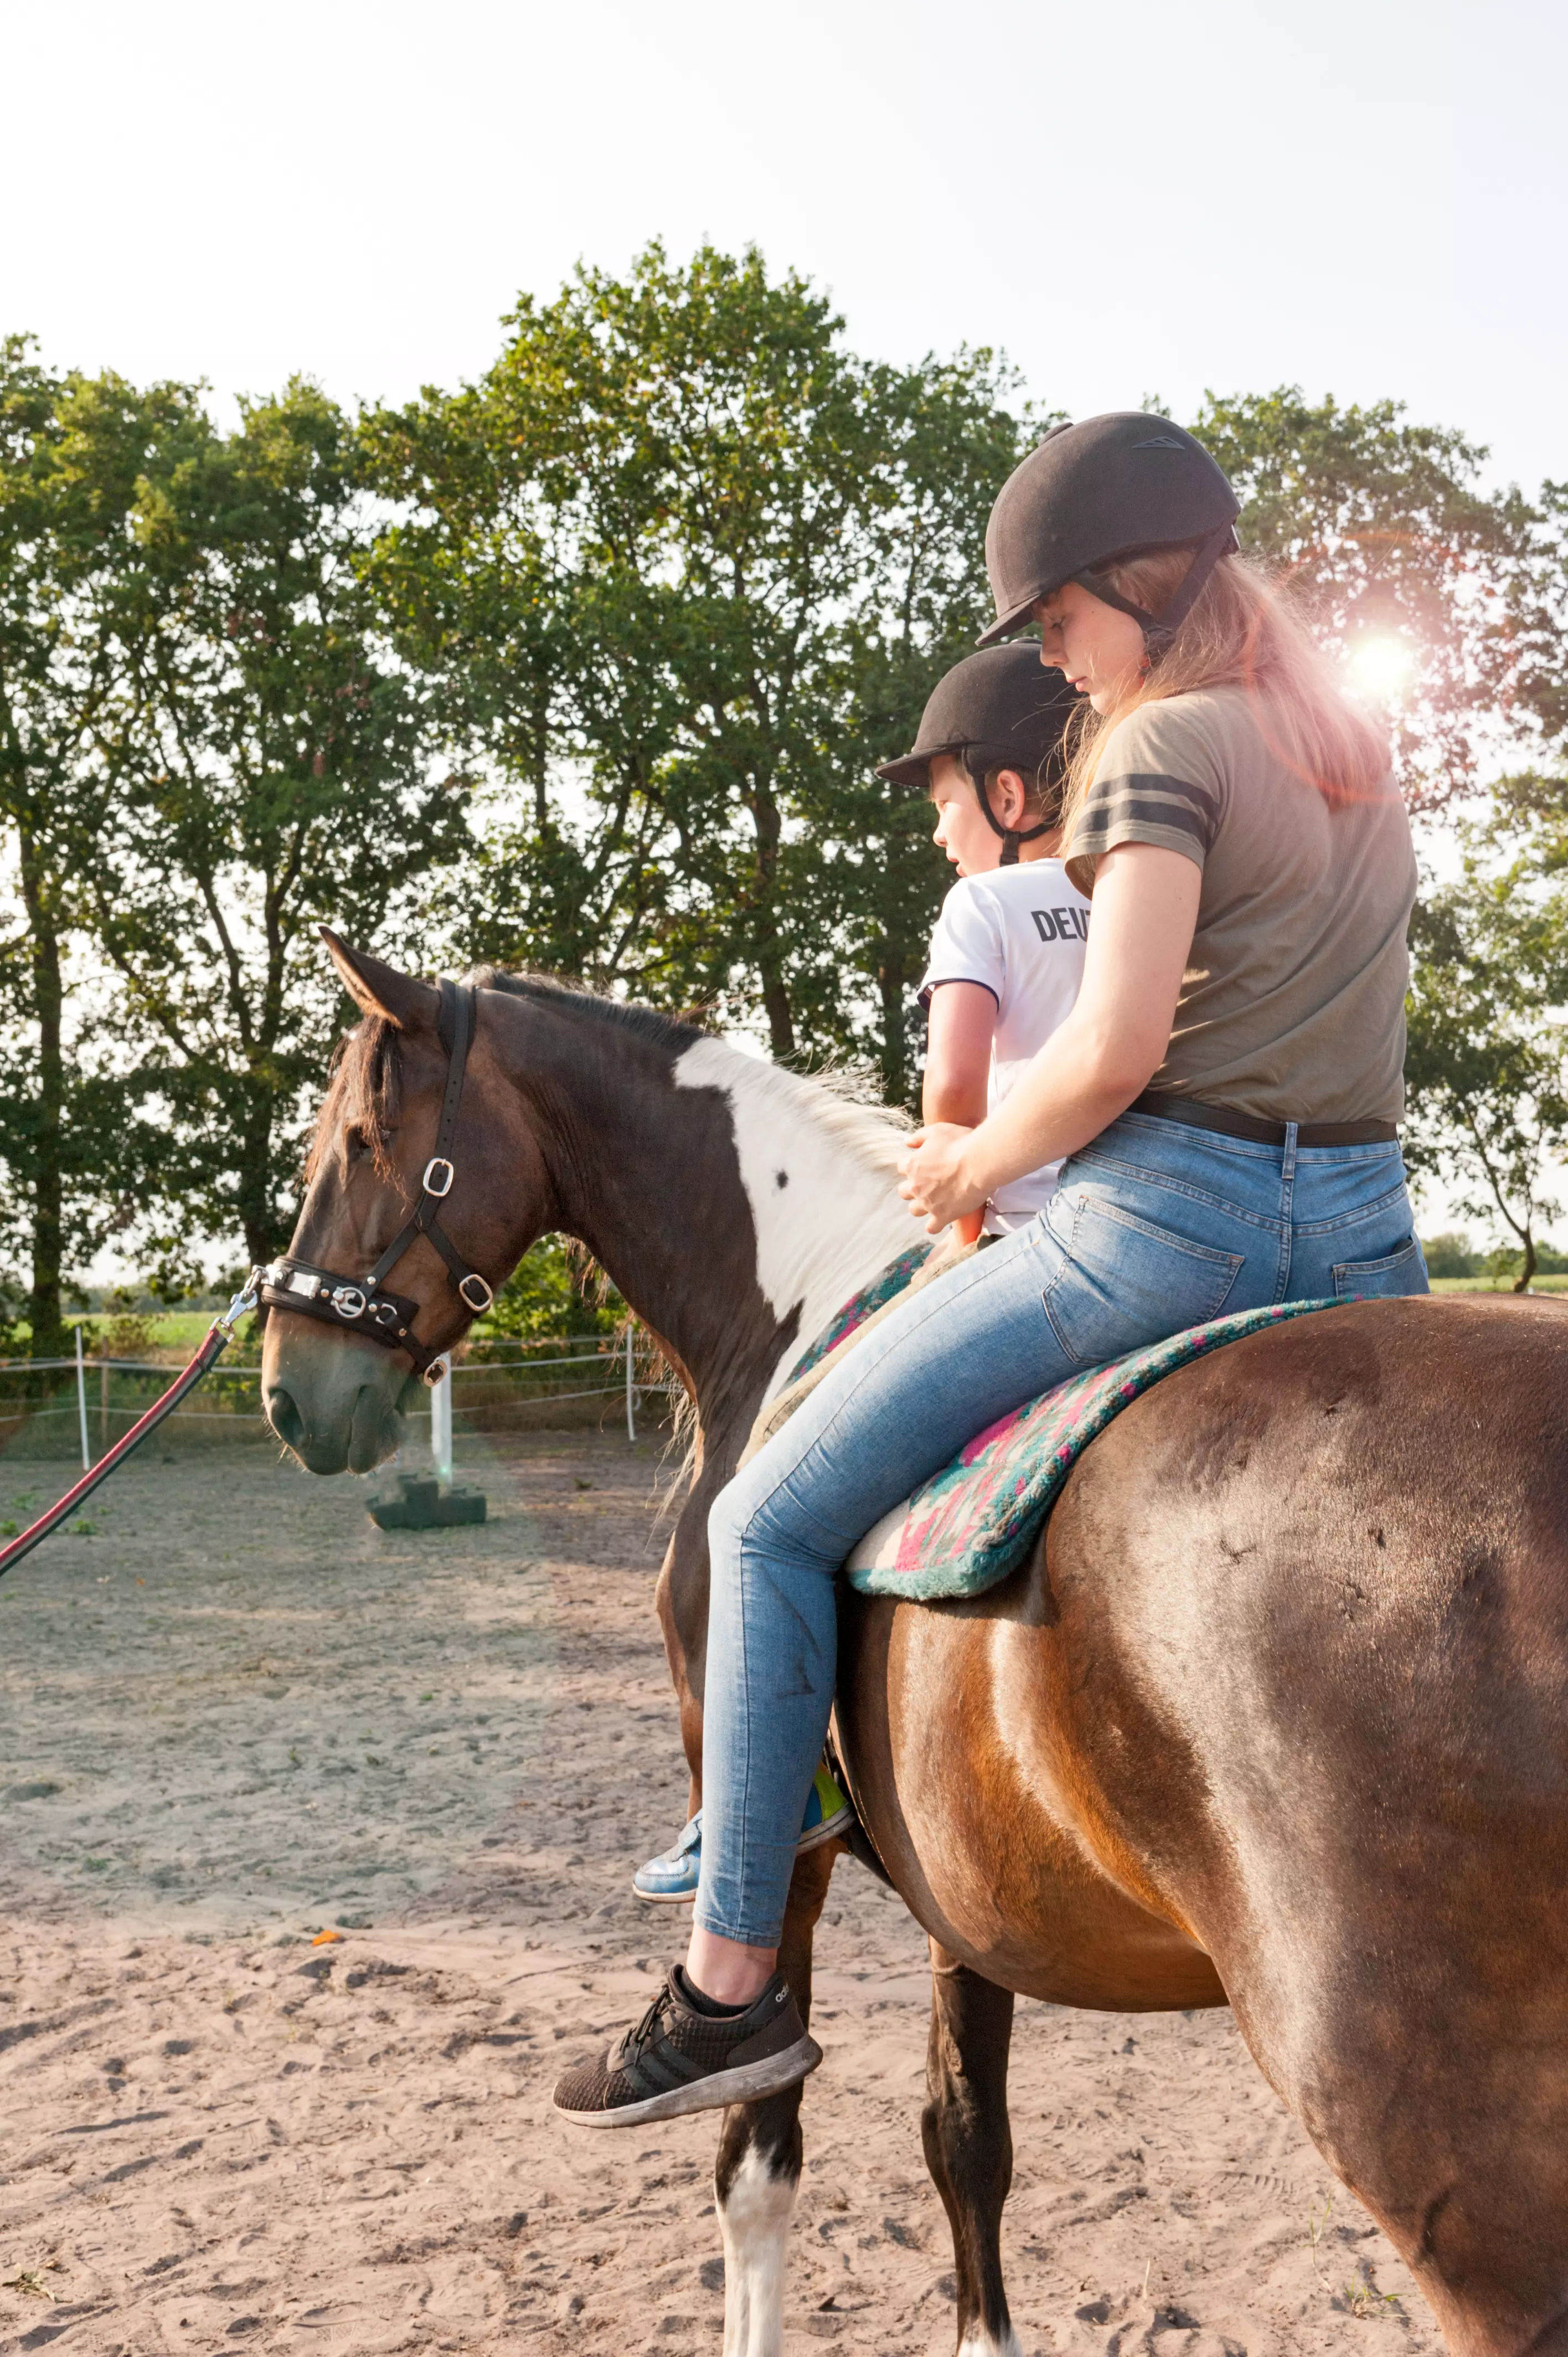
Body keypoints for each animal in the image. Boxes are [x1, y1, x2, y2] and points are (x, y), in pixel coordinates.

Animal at [262, 935, 1568, 2357]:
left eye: (362, 1139)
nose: (290, 1388)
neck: (801, 1303)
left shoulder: (771, 1826)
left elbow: (755, 2157)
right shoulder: (973, 1880)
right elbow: (964, 2139)